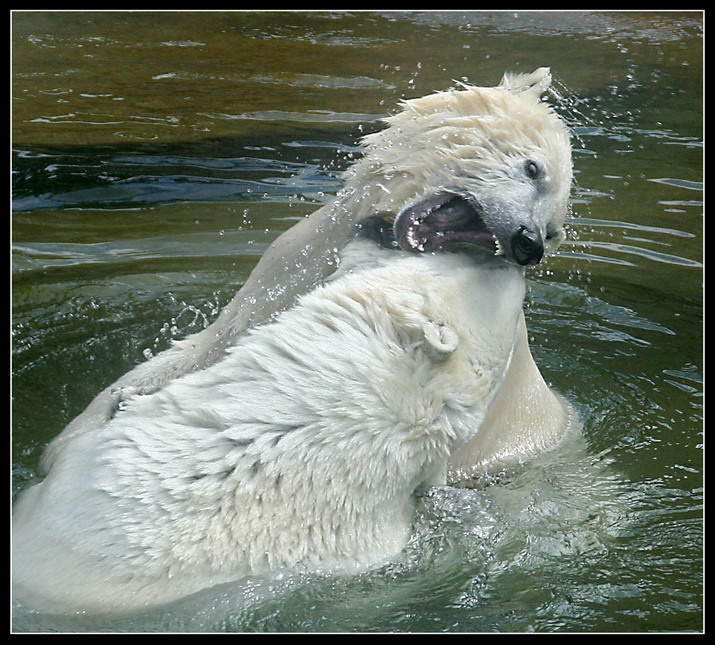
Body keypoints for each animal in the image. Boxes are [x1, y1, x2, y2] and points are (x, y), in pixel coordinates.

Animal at [13, 67, 573, 615]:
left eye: (554, 226)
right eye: (532, 169)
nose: (529, 243)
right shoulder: (288, 267)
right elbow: (206, 347)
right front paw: (93, 420)